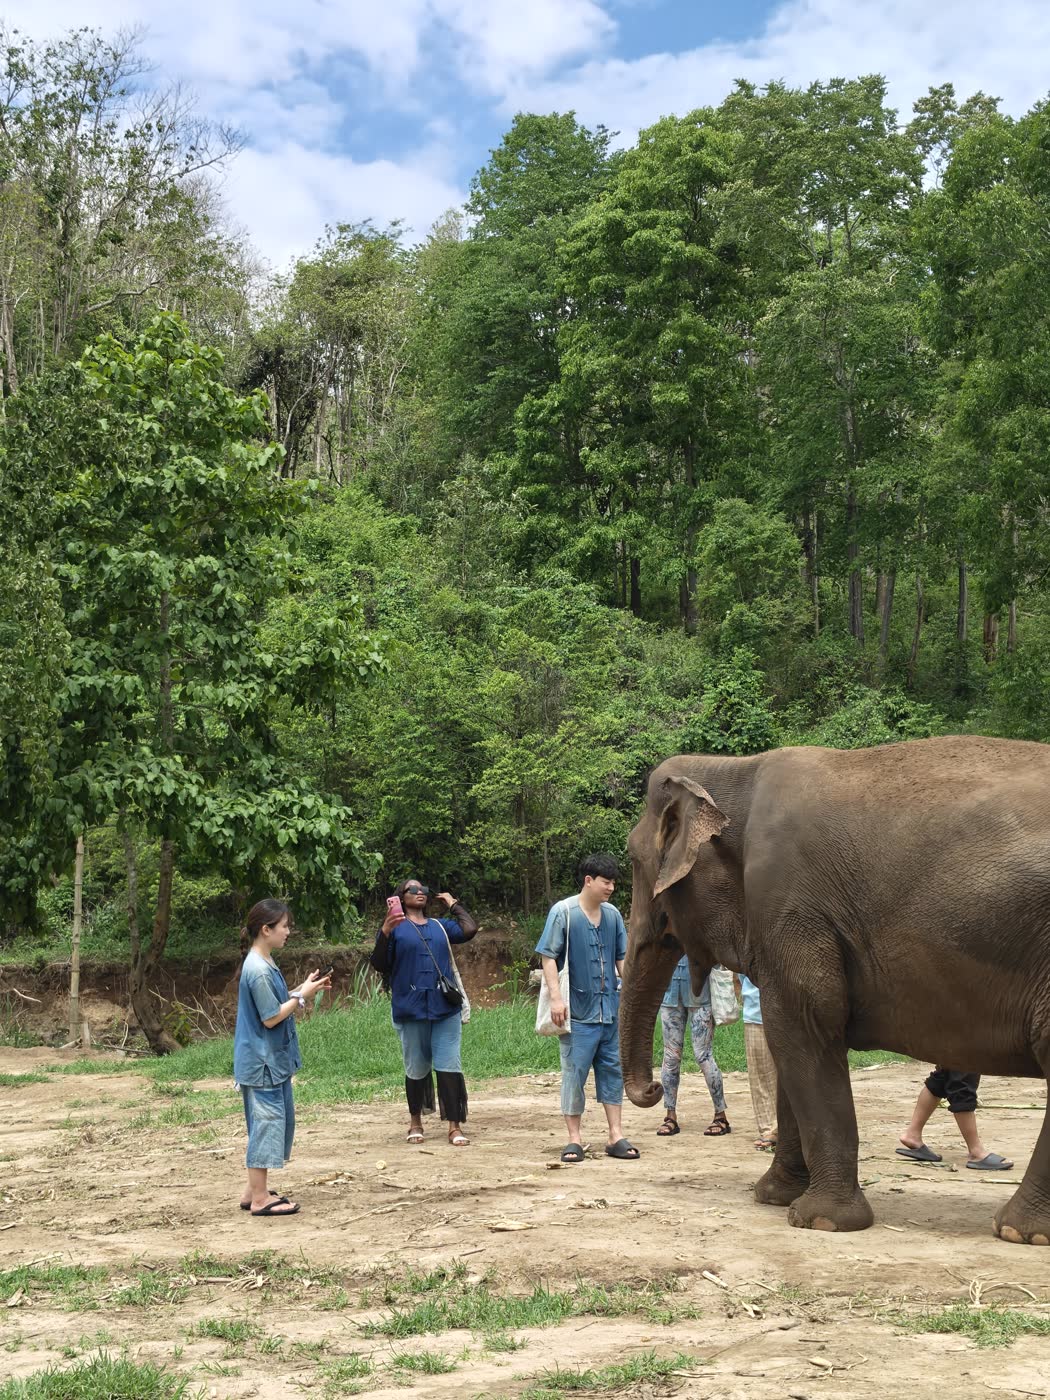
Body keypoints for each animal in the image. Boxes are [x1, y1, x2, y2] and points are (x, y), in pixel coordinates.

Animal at [620, 736, 1050, 1243]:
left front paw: (820, 1220)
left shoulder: (789, 904)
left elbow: (803, 1025)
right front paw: (773, 1195)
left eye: (633, 859)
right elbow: (793, 1041)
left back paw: (1018, 1231)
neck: (735, 768)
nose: (649, 1090)